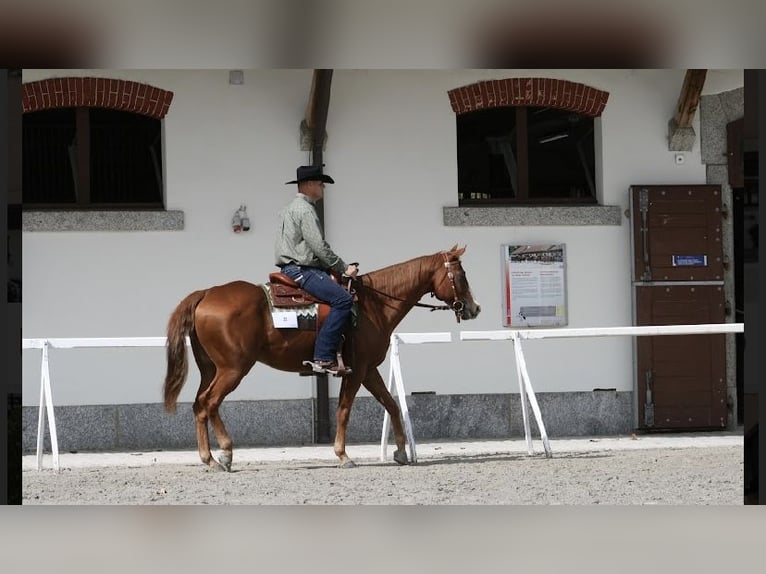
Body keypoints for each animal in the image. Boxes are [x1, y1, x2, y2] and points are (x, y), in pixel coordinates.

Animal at [166, 246, 484, 472]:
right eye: (461, 276)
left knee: (200, 404)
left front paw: (401, 452)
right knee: (210, 403)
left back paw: (212, 457)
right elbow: (343, 410)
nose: (474, 308)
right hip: (233, 369)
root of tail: (206, 293)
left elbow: (391, 404)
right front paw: (343, 455)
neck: (374, 304)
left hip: (211, 369)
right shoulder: (356, 371)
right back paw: (222, 455)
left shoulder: (369, 370)